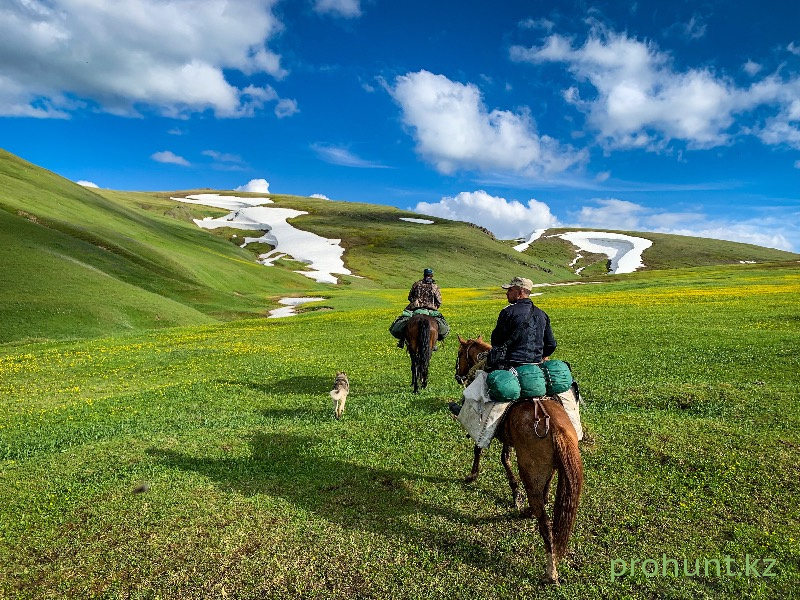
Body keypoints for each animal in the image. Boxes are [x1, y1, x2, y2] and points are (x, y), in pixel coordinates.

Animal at [456, 332, 580, 580]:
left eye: (459, 354)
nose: (457, 375)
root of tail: (557, 428)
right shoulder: (508, 438)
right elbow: (505, 458)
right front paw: (515, 494)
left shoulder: (489, 432)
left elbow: (481, 450)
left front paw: (473, 475)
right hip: (549, 470)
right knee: (544, 496)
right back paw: (527, 511)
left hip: (531, 474)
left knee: (545, 523)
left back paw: (550, 571)